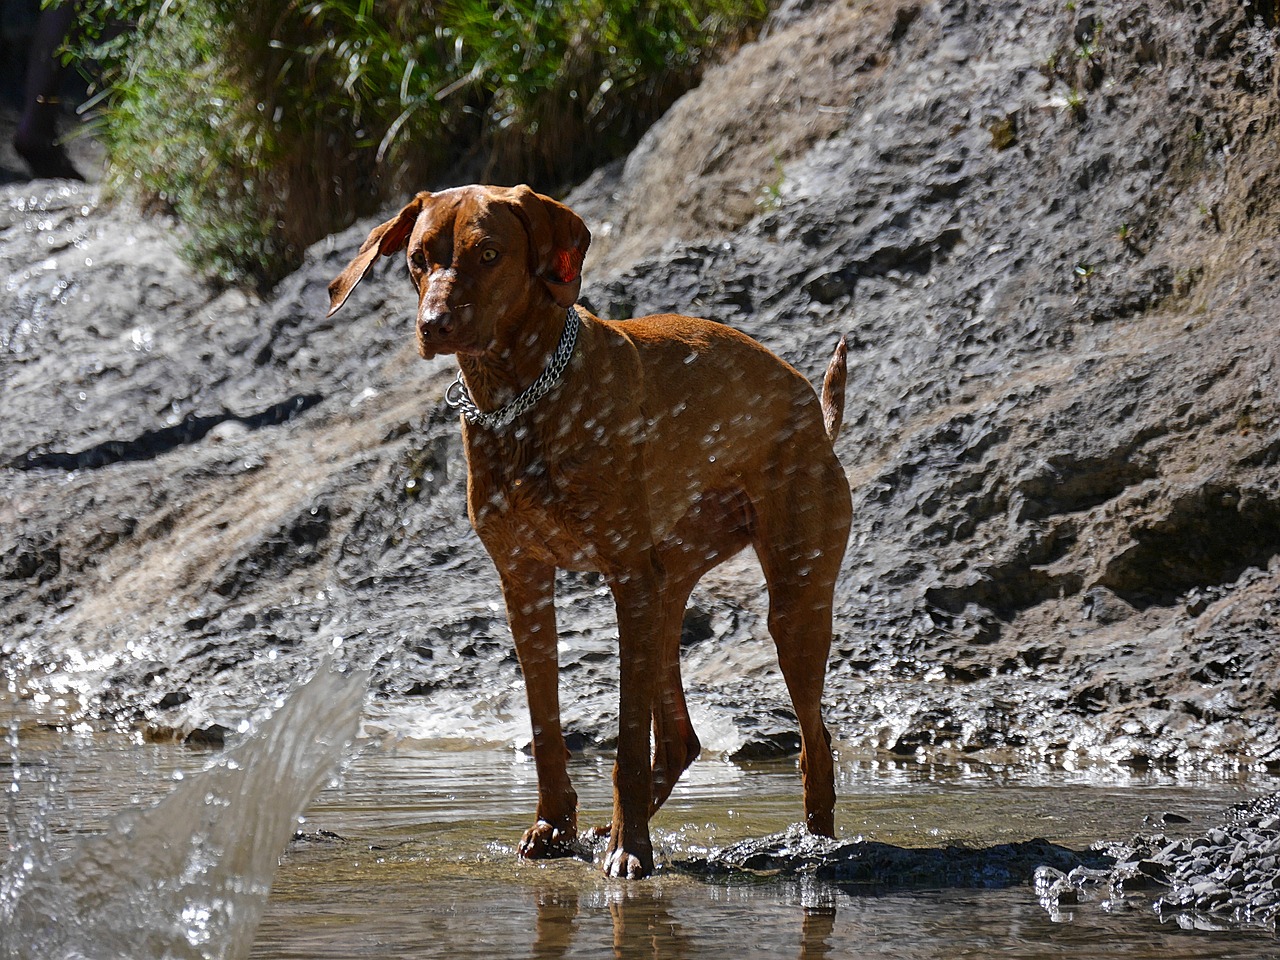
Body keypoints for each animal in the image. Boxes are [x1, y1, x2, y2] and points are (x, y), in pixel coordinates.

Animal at [327, 181, 849, 880]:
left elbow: (626, 740)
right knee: (681, 740)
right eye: (417, 258)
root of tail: (813, 413)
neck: (519, 401)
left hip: (788, 604)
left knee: (813, 743)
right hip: (666, 594)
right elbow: (546, 726)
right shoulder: (524, 584)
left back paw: (812, 844)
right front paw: (555, 825)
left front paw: (631, 849)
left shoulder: (625, 578)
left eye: (489, 253)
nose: (433, 325)